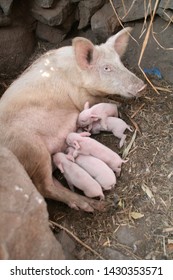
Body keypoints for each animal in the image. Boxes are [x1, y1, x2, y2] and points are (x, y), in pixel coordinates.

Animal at [0, 27, 145, 212]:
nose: (142, 86)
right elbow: (99, 102)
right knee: (44, 187)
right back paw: (94, 206)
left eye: (120, 63)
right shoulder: (81, 96)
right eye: (106, 68)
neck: (76, 73)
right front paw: (117, 104)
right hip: (33, 149)